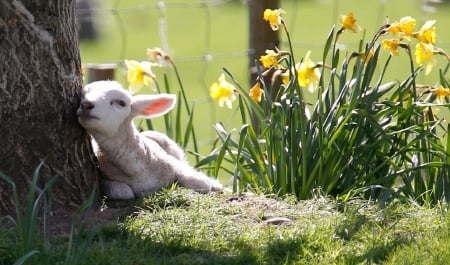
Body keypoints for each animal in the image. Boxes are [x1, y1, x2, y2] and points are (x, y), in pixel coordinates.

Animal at [78, 80, 224, 198]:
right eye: (82, 96)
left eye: (121, 103)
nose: (86, 105)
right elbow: (123, 192)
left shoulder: (174, 164)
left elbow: (201, 183)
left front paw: (213, 185)